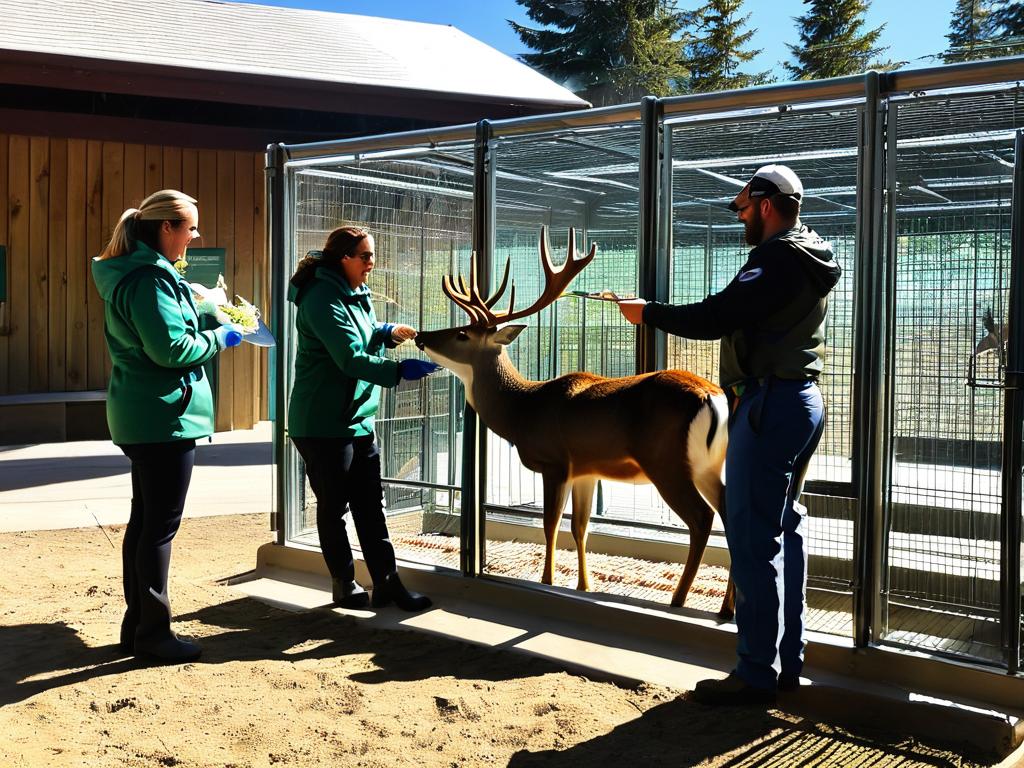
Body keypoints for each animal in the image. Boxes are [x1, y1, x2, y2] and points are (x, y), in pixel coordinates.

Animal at [415, 228, 737, 618]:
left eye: (463, 333)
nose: (420, 335)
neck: (523, 409)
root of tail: (713, 397)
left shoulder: (555, 462)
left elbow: (550, 525)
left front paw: (548, 582)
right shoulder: (587, 469)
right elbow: (580, 527)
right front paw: (585, 586)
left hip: (667, 462)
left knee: (702, 518)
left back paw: (678, 600)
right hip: (708, 465)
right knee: (734, 513)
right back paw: (727, 608)